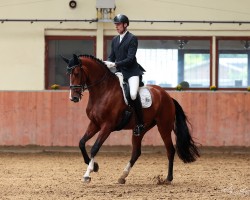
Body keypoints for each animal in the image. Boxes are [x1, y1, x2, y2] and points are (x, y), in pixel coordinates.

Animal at [62, 53, 199, 184]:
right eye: (69, 74)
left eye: (77, 73)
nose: (73, 98)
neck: (103, 91)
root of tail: (168, 96)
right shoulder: (95, 124)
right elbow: (81, 143)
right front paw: (94, 166)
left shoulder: (107, 126)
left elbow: (95, 147)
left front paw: (88, 174)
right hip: (140, 129)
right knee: (136, 152)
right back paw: (122, 176)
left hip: (164, 127)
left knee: (170, 150)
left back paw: (168, 178)